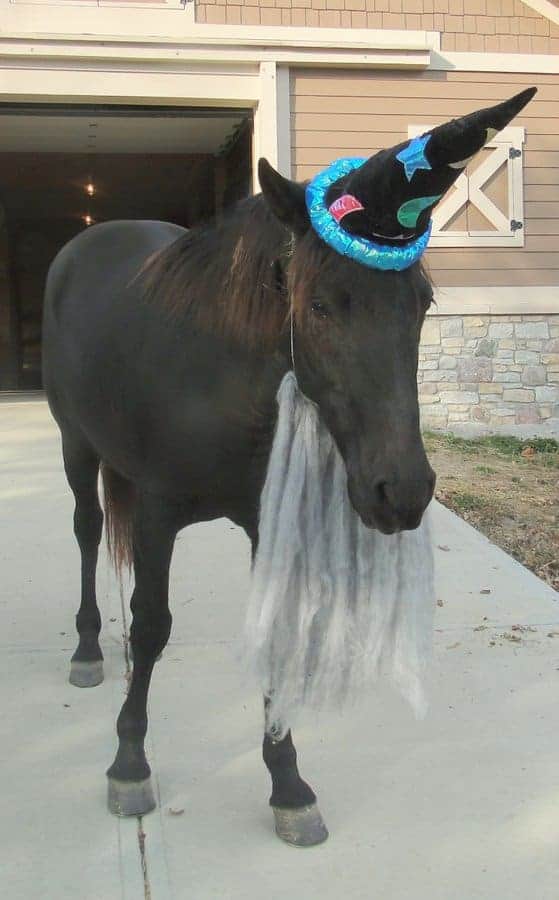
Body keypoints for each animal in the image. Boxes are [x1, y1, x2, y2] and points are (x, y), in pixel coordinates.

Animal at [41, 87, 534, 847]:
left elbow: (274, 635)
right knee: (88, 532)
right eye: (319, 305)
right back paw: (89, 650)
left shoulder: (263, 520)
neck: (213, 382)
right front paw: (129, 762)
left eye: (421, 303)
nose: (402, 492)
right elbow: (150, 626)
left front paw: (288, 783)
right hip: (76, 446)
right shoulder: (155, 515)